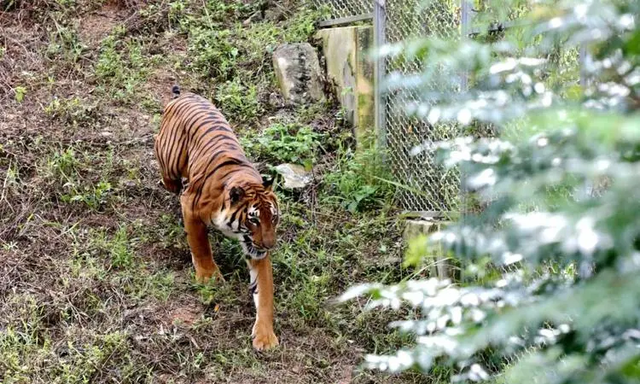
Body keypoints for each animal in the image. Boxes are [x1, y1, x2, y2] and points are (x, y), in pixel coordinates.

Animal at [155, 85, 280, 350]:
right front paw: (209, 277)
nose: (270, 245)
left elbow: (264, 292)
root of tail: (184, 95)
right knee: (160, 153)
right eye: (254, 219)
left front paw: (265, 336)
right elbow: (201, 245)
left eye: (273, 219)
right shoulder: (190, 207)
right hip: (171, 159)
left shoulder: (254, 250)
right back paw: (171, 183)